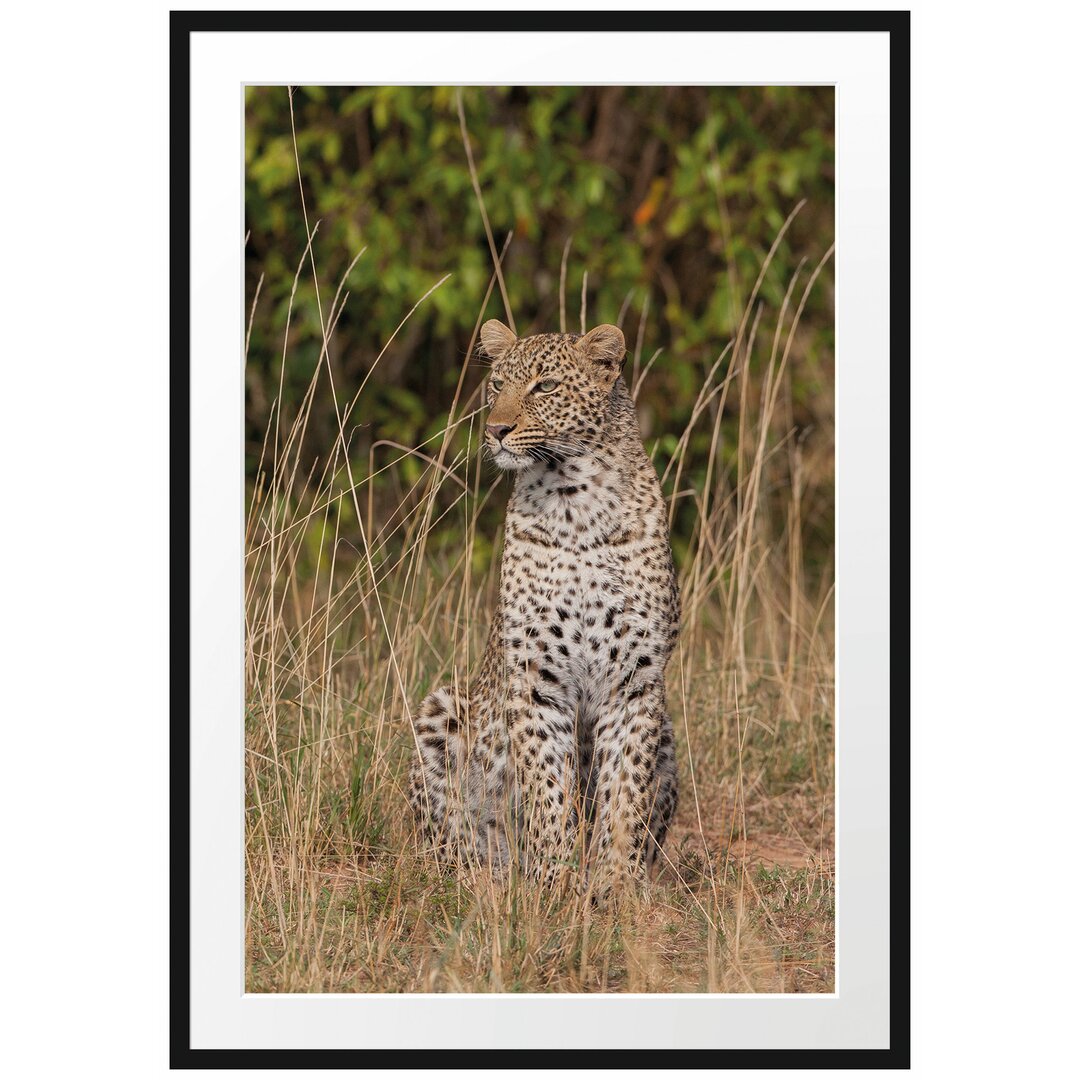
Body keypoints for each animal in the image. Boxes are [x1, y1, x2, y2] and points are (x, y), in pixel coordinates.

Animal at [408, 315, 678, 889]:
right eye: (496, 385)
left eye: (545, 386)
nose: (495, 429)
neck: (576, 504)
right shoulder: (535, 677)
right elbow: (546, 787)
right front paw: (555, 881)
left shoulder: (636, 680)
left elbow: (625, 793)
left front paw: (617, 887)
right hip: (442, 708)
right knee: (448, 840)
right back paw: (483, 878)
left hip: (667, 731)